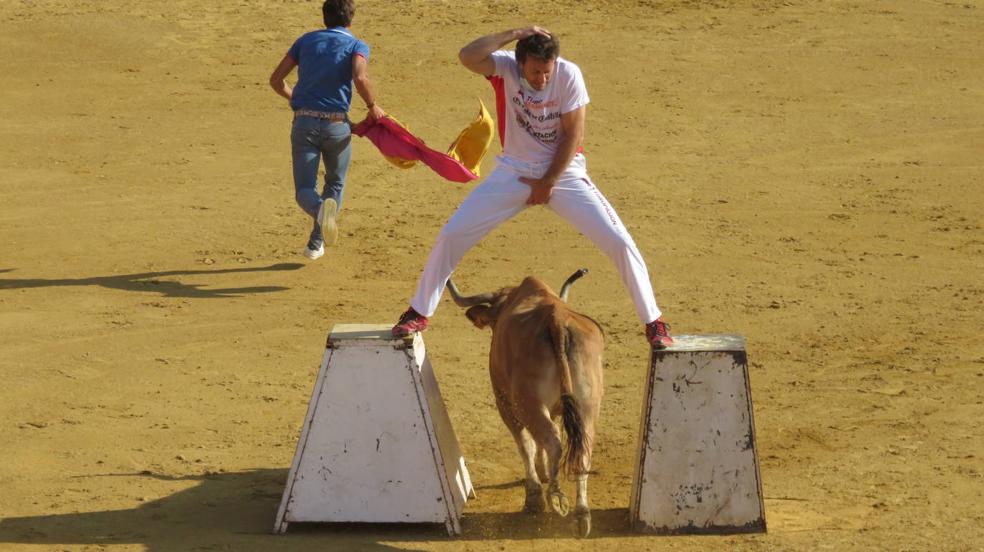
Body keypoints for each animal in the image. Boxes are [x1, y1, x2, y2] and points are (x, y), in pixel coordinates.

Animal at [450, 270, 604, 536]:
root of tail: (556, 319)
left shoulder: (505, 402)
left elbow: (526, 445)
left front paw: (533, 495)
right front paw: (543, 473)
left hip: (526, 402)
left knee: (552, 442)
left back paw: (555, 498)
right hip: (588, 406)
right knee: (581, 450)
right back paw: (582, 514)